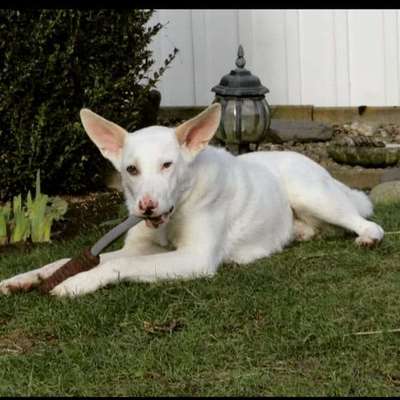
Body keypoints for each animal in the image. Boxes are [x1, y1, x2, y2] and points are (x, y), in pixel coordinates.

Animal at [0, 104, 384, 296]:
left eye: (167, 165)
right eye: (132, 169)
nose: (146, 207)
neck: (178, 207)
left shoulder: (194, 258)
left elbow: (114, 266)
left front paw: (75, 283)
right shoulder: (141, 248)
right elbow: (66, 260)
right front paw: (27, 277)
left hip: (313, 194)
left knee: (367, 222)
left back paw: (367, 236)